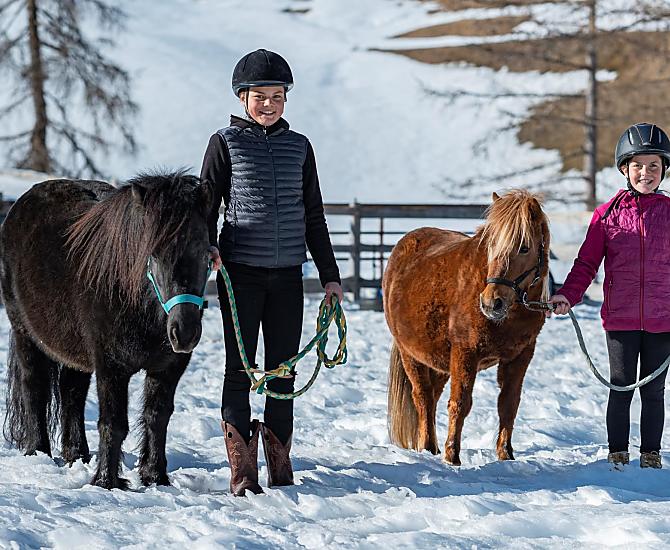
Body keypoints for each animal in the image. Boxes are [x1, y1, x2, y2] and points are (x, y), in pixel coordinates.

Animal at [1, 170, 212, 489]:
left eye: (204, 252)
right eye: (154, 254)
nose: (184, 332)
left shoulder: (169, 366)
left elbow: (157, 417)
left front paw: (155, 477)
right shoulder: (111, 366)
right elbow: (113, 423)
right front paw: (106, 481)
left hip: (73, 349)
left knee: (71, 393)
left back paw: (77, 455)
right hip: (25, 333)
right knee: (33, 387)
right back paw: (37, 452)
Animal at [384, 189, 550, 466]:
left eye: (524, 247)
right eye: (491, 246)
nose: (491, 302)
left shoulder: (521, 355)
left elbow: (508, 404)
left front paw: (506, 454)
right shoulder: (465, 353)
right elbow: (460, 403)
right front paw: (452, 456)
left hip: (438, 360)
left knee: (432, 399)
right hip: (411, 355)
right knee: (422, 397)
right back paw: (429, 447)